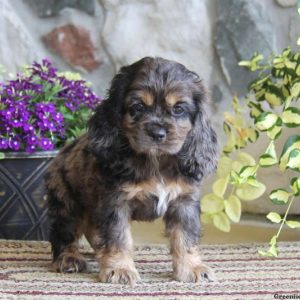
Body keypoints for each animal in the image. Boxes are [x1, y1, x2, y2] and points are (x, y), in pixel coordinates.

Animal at [45, 56, 218, 286]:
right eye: (137, 107)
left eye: (178, 109)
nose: (157, 133)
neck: (155, 161)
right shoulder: (116, 201)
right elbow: (119, 236)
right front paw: (120, 269)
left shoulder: (184, 202)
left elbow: (185, 236)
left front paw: (192, 267)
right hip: (68, 204)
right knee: (63, 234)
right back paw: (69, 258)